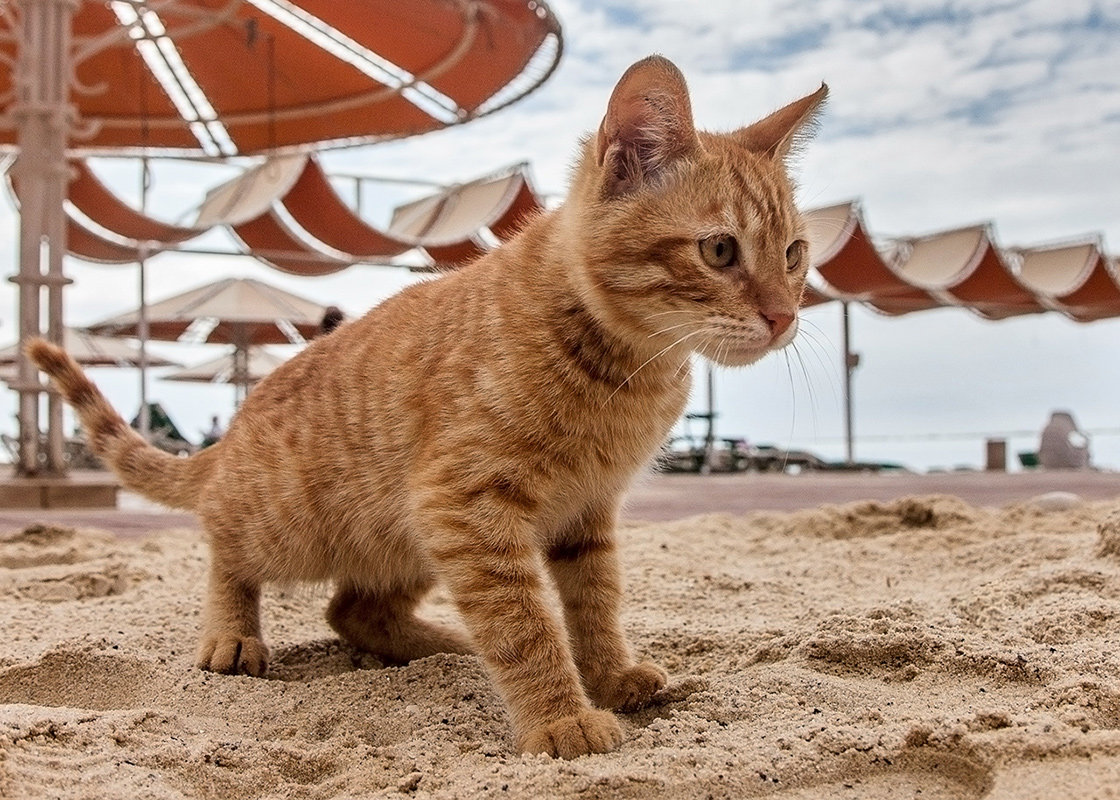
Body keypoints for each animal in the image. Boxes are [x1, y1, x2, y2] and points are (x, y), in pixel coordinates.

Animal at [30, 54, 828, 752]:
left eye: (794, 254)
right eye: (720, 251)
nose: (785, 316)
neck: (630, 368)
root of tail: (236, 431)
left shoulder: (583, 514)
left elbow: (594, 603)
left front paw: (605, 675)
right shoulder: (466, 505)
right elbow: (525, 625)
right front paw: (561, 717)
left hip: (406, 539)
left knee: (351, 608)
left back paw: (437, 645)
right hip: (293, 522)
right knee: (229, 549)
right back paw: (233, 633)